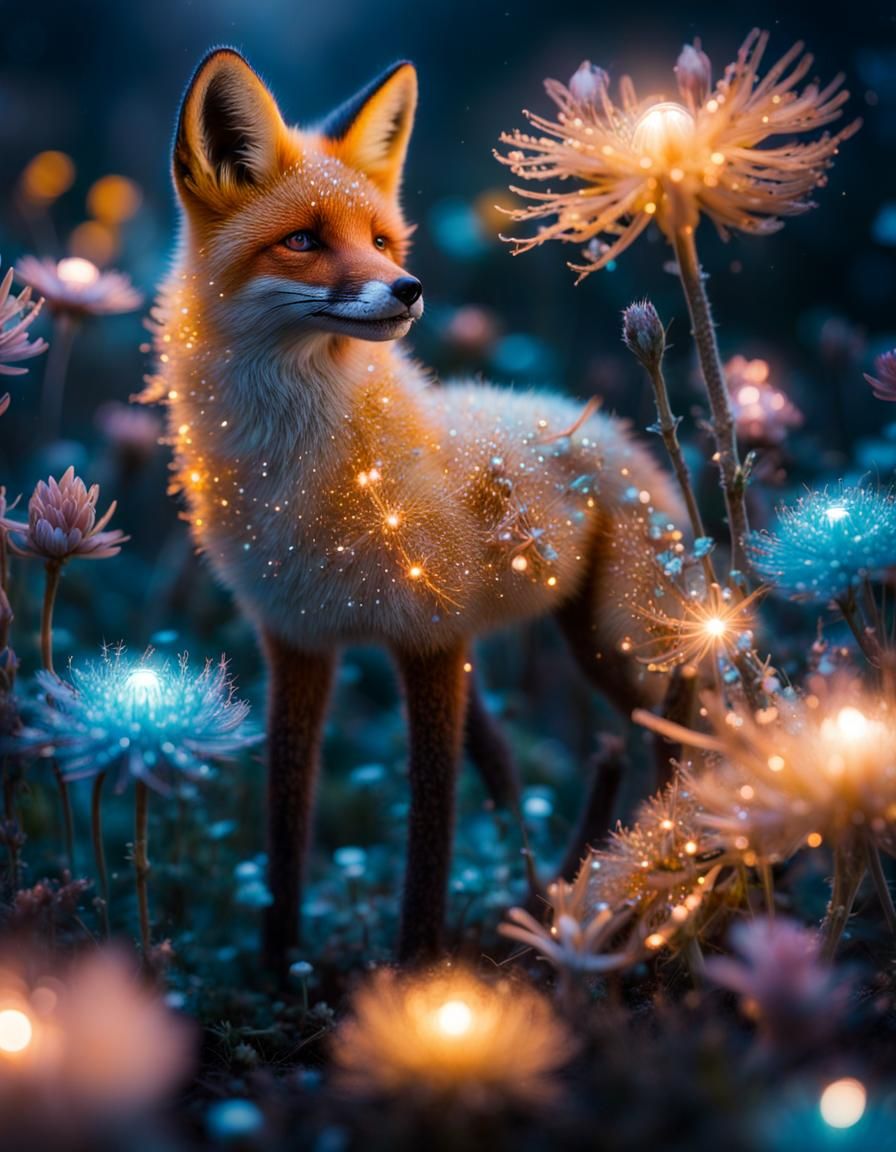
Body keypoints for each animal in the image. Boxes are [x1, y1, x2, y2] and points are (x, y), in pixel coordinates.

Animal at [151, 48, 681, 970]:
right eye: (303, 240)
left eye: (381, 241)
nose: (409, 288)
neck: (303, 474)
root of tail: (623, 435)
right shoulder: (295, 636)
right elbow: (286, 819)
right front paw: (277, 969)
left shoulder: (434, 639)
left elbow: (430, 836)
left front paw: (417, 971)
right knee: (563, 763)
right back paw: (570, 886)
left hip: (616, 646)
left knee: (678, 725)